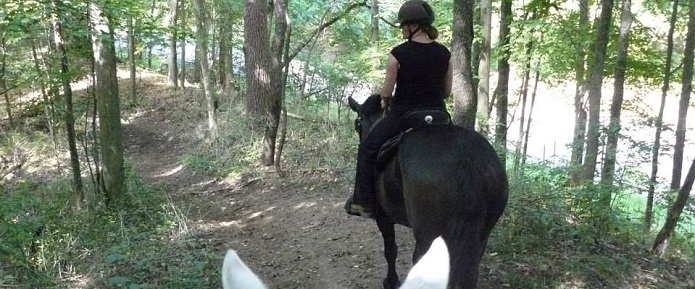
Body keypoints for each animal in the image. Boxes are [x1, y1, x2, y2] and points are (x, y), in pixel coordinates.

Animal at [350, 93, 508, 286]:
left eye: (357, 124)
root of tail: (464, 159)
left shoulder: (383, 217)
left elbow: (390, 250)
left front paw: (391, 281)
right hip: (481, 236)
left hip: (428, 235)